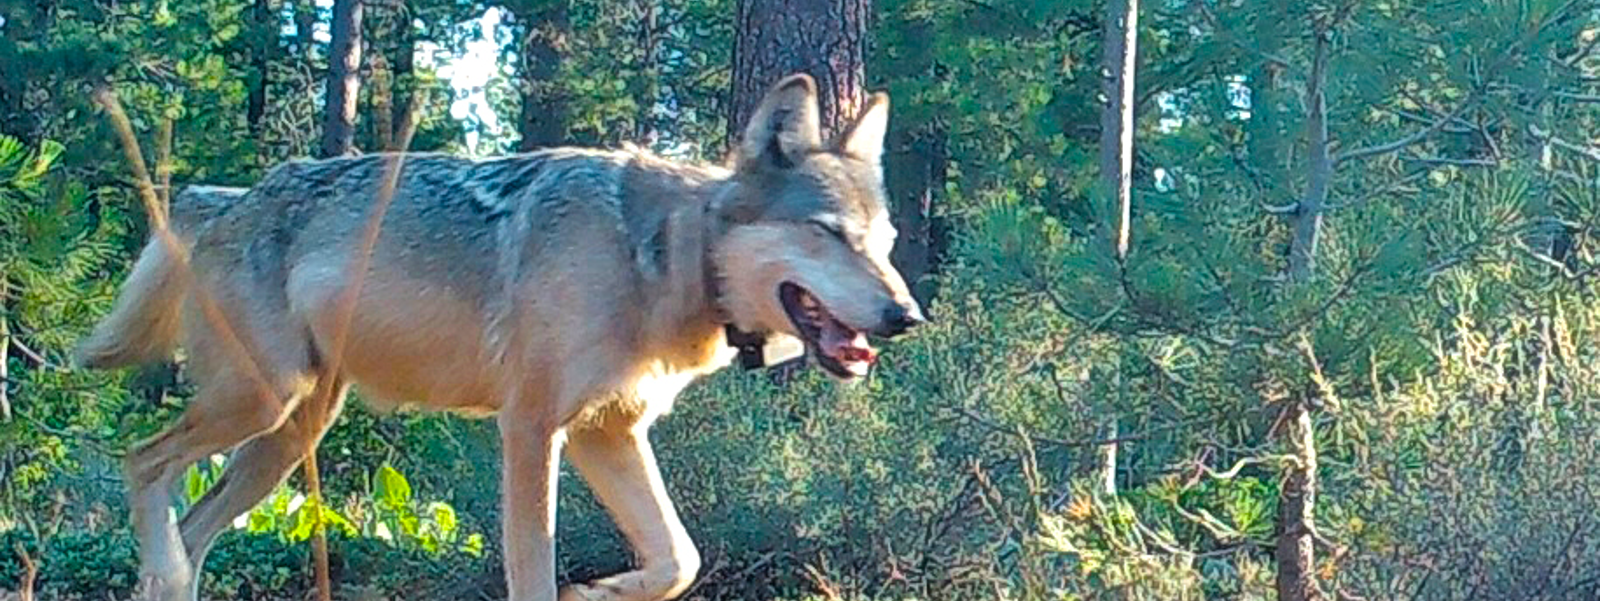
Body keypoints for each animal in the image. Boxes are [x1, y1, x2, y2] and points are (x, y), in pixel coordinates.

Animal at [74, 73, 924, 601]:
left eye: (884, 242)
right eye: (828, 234)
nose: (905, 316)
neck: (654, 253)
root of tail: (221, 197)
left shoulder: (608, 431)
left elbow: (679, 558)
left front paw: (602, 588)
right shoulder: (532, 427)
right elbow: (535, 570)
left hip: (286, 436)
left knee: (191, 526)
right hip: (261, 405)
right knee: (141, 464)